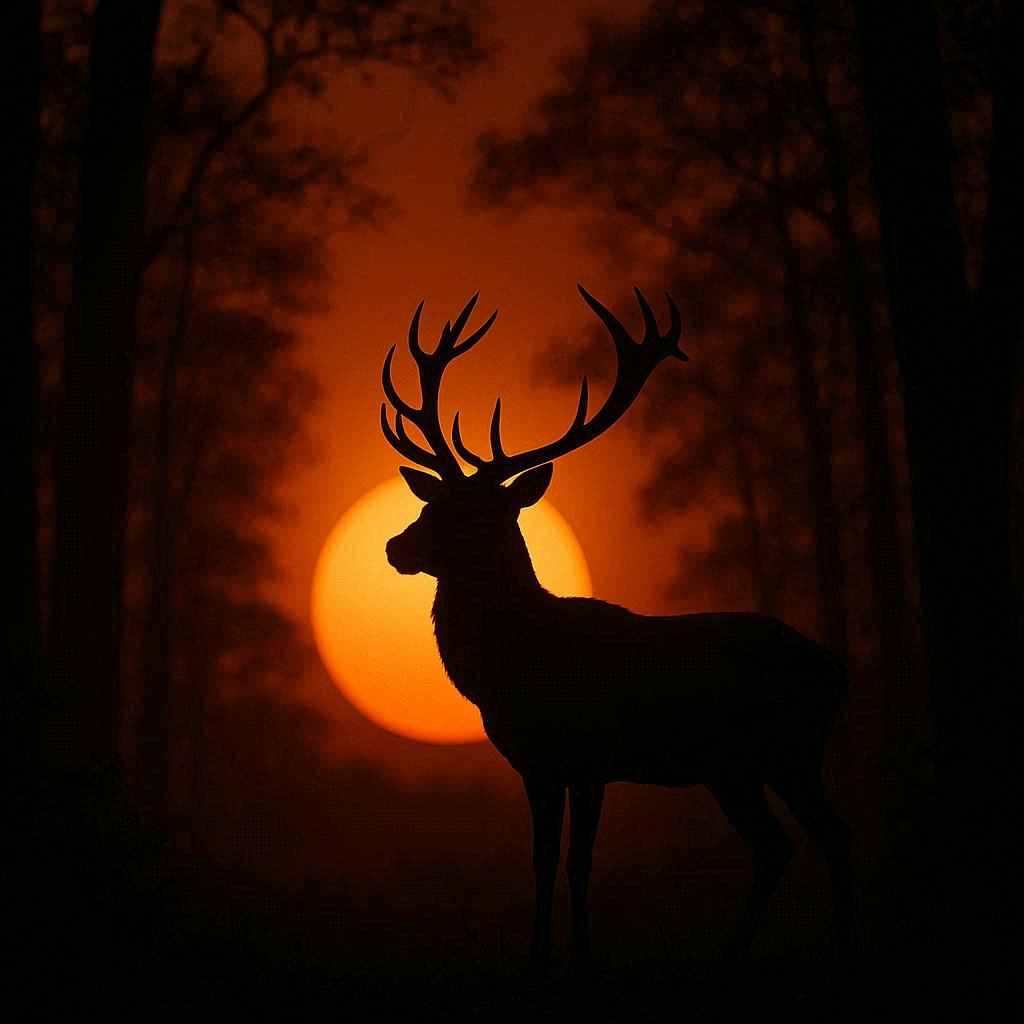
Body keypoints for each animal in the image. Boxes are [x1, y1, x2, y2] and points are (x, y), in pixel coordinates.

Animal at [380, 286, 854, 981]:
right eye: (429, 501)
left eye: (474, 512)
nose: (395, 546)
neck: (517, 665)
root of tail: (837, 669)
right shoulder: (537, 762)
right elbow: (542, 859)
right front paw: (540, 959)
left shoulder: (589, 754)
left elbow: (578, 861)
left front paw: (578, 959)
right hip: (742, 765)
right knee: (788, 844)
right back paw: (742, 957)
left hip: (783, 749)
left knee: (820, 838)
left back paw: (822, 956)